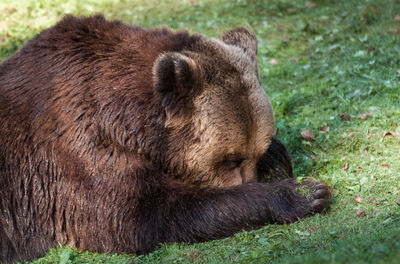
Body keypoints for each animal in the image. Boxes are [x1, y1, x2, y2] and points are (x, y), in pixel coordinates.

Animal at [0, 14, 332, 264]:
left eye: (253, 154)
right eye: (229, 159)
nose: (248, 180)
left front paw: (277, 164)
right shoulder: (74, 153)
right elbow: (141, 213)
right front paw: (305, 193)